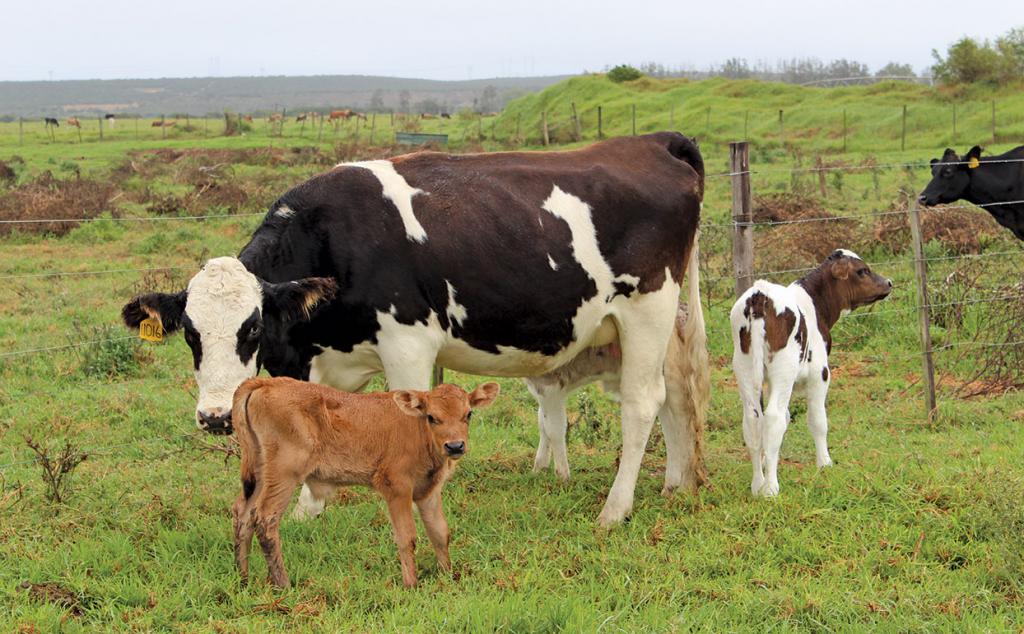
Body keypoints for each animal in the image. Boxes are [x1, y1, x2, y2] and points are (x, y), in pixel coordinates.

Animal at [121, 133, 704, 524]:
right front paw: (310, 508)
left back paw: (615, 508)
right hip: (666, 319)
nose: (217, 417)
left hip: (646, 307)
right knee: (677, 391)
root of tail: (653, 142)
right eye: (190, 334)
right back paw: (677, 484)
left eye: (252, 329)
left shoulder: (407, 345)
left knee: (642, 402)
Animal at [229, 376, 499, 589]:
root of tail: (267, 382)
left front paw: (447, 576)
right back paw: (282, 583)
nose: (455, 446)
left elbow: (440, 533)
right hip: (284, 474)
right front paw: (411, 584)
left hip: (260, 473)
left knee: (243, 513)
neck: (418, 429)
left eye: (468, 414)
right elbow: (406, 536)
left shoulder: (428, 492)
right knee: (265, 518)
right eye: (432, 417)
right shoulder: (397, 487)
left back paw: (243, 578)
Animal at [733, 250, 892, 497]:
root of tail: (760, 294)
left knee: (753, 420)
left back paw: (757, 485)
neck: (814, 306)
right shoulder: (820, 374)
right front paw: (824, 463)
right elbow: (817, 420)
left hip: (745, 368)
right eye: (862, 271)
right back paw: (770, 488)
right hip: (784, 368)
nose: (889, 283)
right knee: (773, 417)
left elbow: (786, 419)